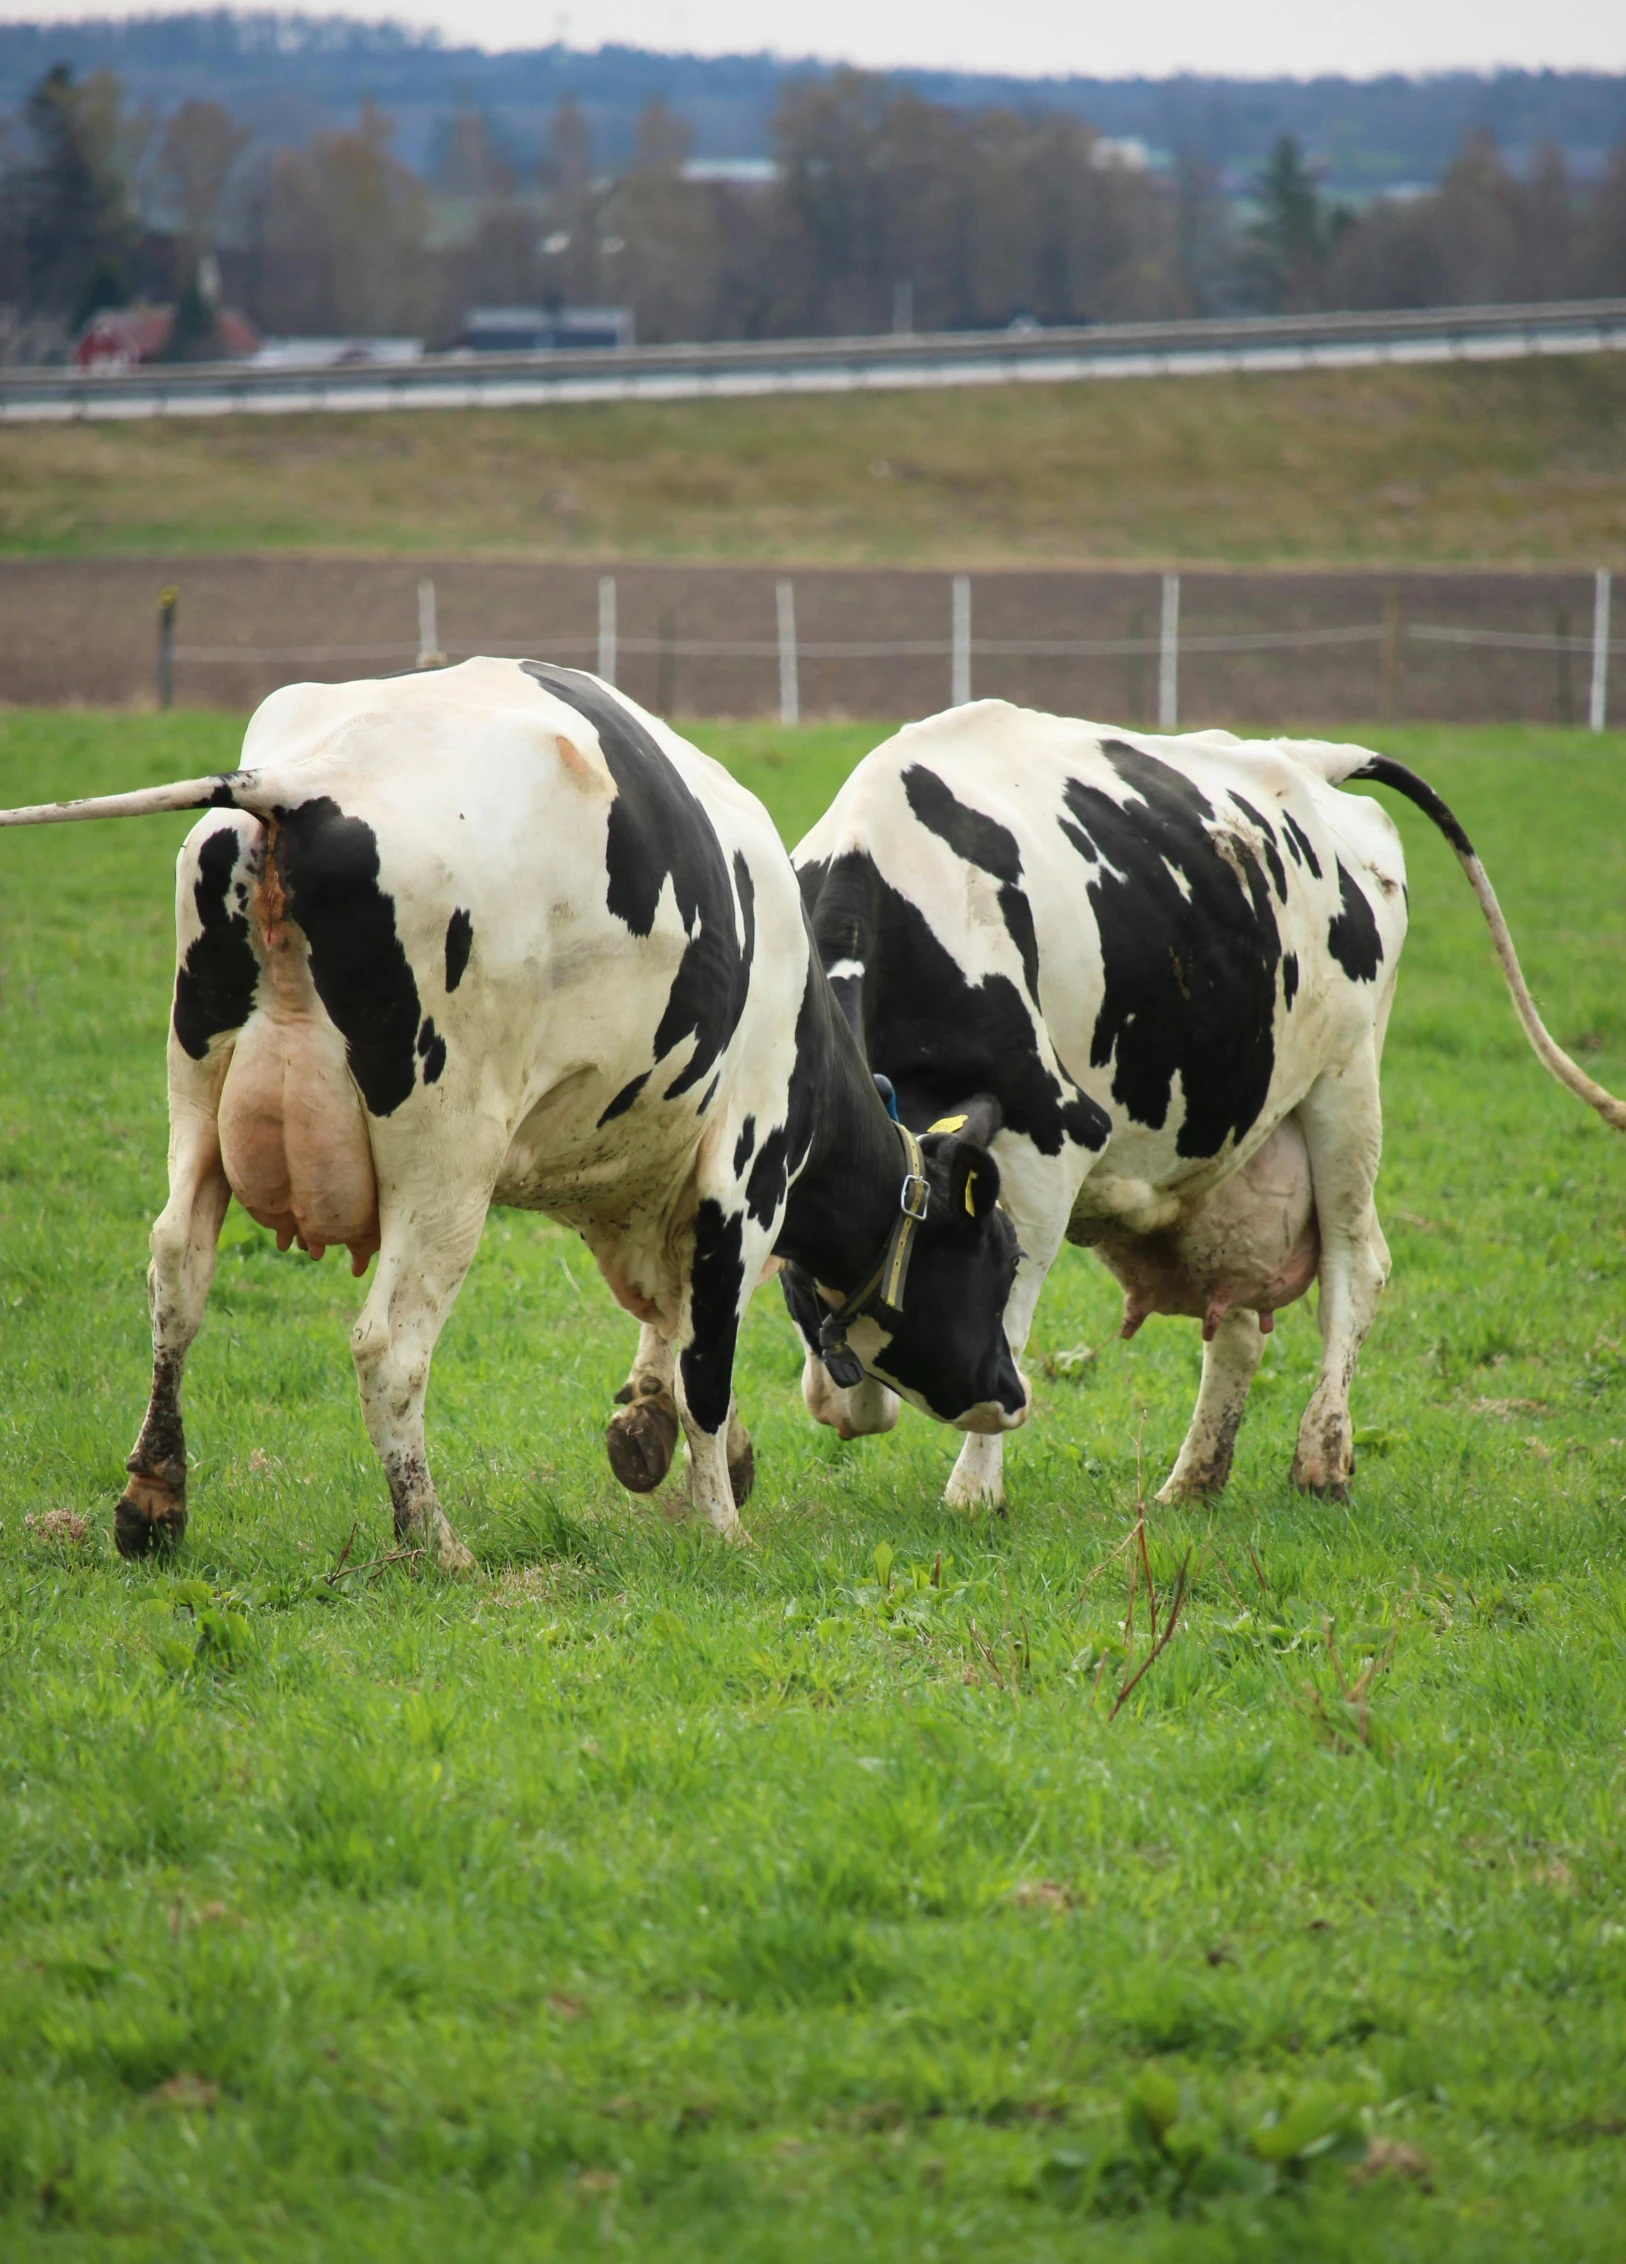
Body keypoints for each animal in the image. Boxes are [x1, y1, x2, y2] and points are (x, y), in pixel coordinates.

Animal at [0, 661, 1023, 1566]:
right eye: (1000, 1259)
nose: (1012, 1394)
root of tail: (303, 782)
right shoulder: (743, 1176)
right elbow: (708, 1361)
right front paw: (724, 1525)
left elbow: (676, 1327)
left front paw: (667, 1438)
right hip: (446, 1162)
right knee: (388, 1347)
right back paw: (432, 1541)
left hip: (198, 1098)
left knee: (178, 1275)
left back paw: (153, 1502)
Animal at [788, 697, 1621, 1512]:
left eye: (990, 1259)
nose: (1003, 1399)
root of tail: (1303, 756)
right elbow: (837, 1372)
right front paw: (861, 1398)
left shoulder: (1056, 1134)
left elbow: (1014, 1317)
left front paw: (974, 1488)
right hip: (1240, 1139)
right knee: (1242, 1320)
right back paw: (1191, 1481)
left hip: (1346, 1081)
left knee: (1359, 1266)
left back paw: (1321, 1454)